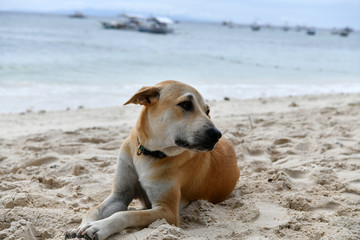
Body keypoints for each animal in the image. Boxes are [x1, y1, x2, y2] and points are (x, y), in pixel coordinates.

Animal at [65, 81, 239, 240]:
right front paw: (81, 226)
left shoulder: (167, 211)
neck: (148, 152)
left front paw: (99, 227)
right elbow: (93, 209)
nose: (216, 134)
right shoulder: (120, 195)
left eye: (207, 111)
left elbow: (125, 215)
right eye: (185, 104)